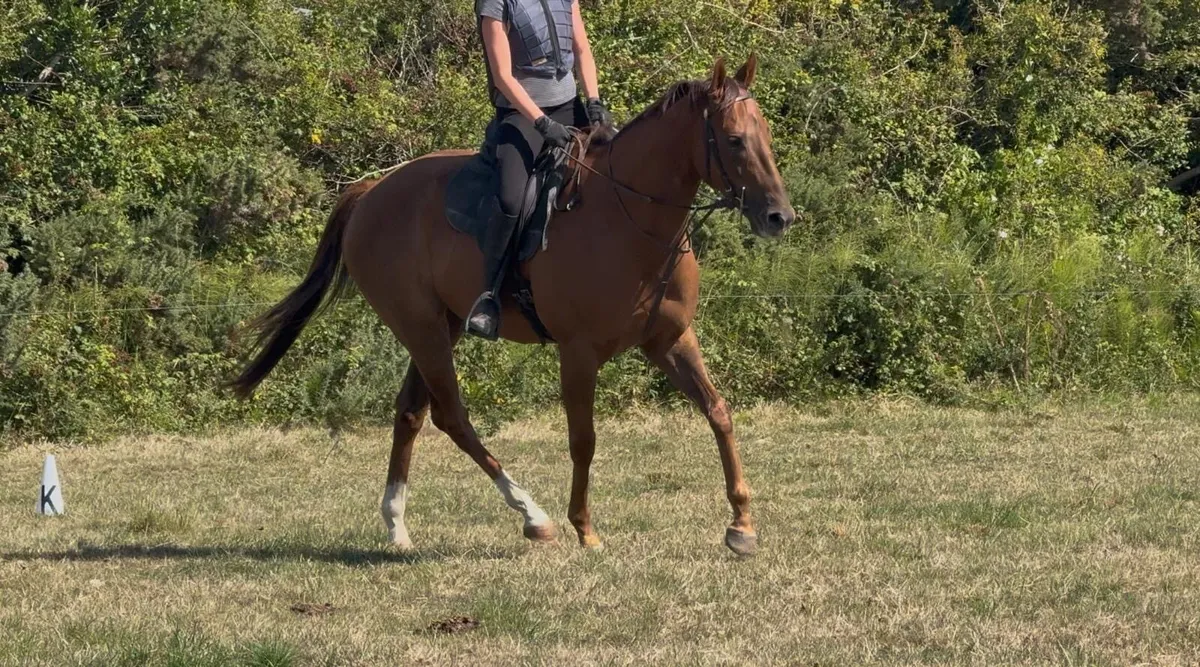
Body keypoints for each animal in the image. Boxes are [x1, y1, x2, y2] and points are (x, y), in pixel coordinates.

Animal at [230, 55, 795, 556]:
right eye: (734, 140)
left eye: (765, 135)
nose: (779, 217)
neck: (629, 218)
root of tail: (370, 192)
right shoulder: (578, 352)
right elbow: (584, 438)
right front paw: (584, 528)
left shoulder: (670, 340)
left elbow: (718, 412)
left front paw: (742, 525)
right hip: (422, 328)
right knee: (451, 416)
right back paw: (532, 515)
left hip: (441, 326)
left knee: (411, 412)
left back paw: (396, 525)